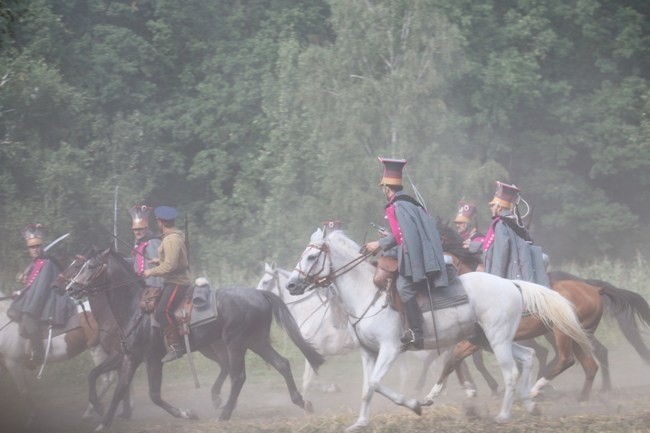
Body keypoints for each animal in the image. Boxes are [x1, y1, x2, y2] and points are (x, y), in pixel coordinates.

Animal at [62, 246, 322, 428]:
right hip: (256, 341)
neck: (136, 307)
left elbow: (154, 395)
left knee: (238, 376)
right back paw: (302, 402)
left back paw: (224, 413)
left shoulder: (152, 359)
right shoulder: (129, 358)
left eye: (90, 266)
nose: (70, 289)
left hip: (236, 344)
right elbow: (117, 390)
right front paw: (103, 422)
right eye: (79, 265)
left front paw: (187, 414)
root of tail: (259, 294)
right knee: (281, 364)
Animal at [286, 228, 584, 430]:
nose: (290, 285)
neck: (368, 295)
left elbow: (376, 383)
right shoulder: (368, 353)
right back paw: (531, 404)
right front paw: (360, 423)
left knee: (511, 372)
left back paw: (503, 415)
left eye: (311, 256)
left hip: (497, 340)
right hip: (487, 339)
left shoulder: (390, 349)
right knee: (528, 357)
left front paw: (415, 405)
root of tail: (511, 283)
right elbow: (366, 388)